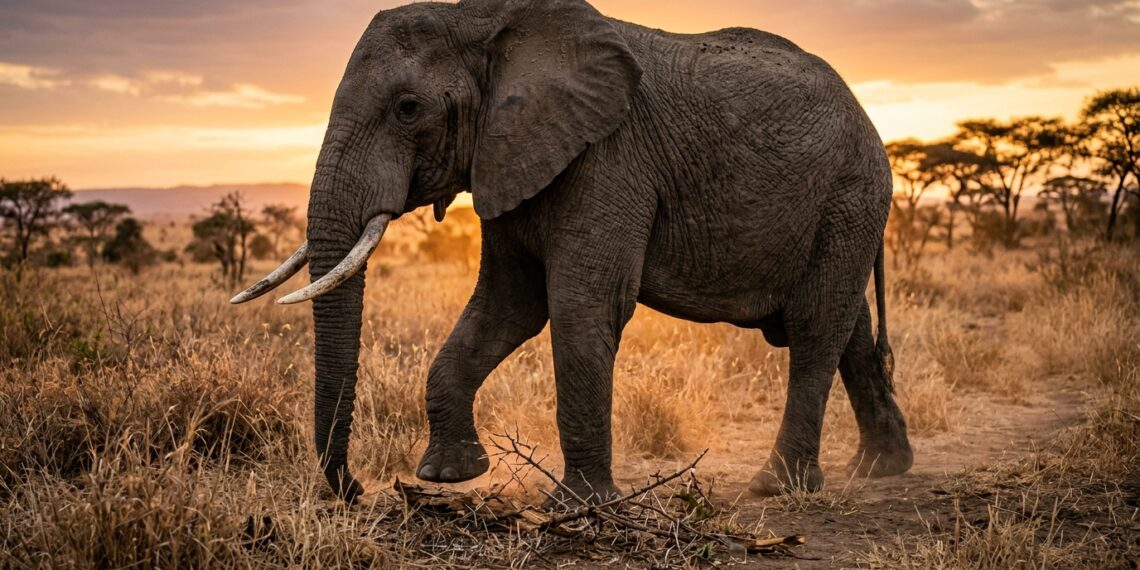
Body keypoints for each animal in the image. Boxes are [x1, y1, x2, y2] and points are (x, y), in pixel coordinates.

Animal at [232, 0, 914, 504]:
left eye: (407, 109)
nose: (355, 490)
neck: (485, 20)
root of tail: (868, 118)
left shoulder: (610, 157)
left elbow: (582, 306)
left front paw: (580, 504)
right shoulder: (511, 154)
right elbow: (507, 307)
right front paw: (449, 476)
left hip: (850, 192)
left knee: (816, 325)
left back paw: (779, 486)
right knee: (848, 327)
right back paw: (881, 469)